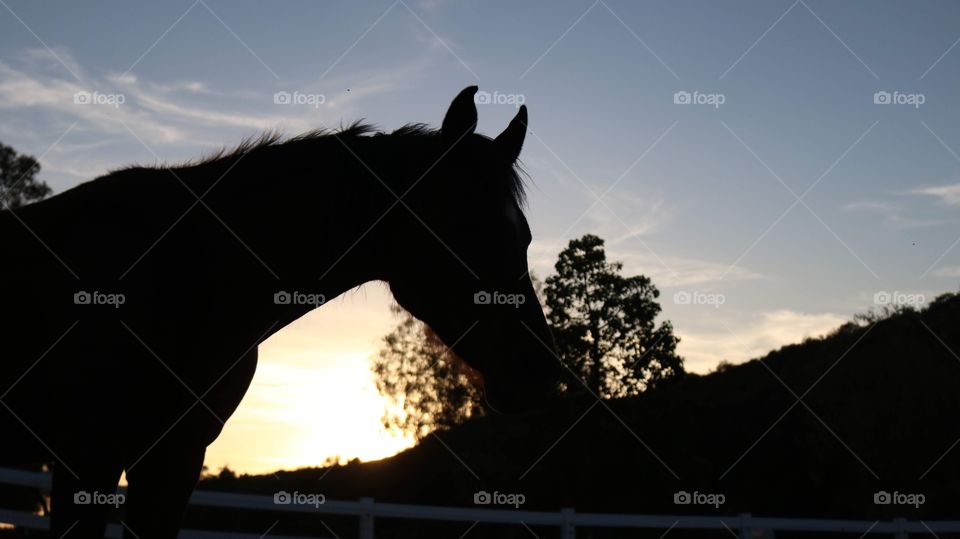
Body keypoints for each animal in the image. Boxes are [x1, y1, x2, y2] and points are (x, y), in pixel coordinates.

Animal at [0, 86, 560, 537]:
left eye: (525, 237)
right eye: (462, 231)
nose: (538, 373)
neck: (185, 271)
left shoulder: (172, 460)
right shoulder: (87, 458)